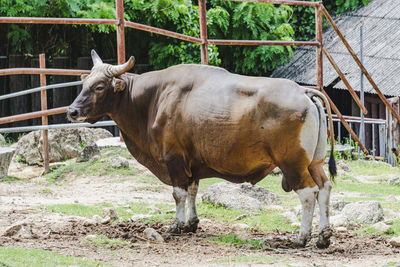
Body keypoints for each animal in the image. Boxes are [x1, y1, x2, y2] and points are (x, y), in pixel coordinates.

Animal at [67, 50, 336, 249]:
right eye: (84, 83)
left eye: (99, 86)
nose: (72, 111)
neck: (154, 98)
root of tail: (303, 91)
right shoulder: (191, 163)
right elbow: (193, 191)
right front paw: (191, 224)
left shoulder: (173, 158)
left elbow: (178, 194)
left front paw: (176, 225)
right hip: (314, 162)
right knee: (324, 188)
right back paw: (323, 236)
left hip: (292, 163)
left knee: (308, 193)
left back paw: (301, 238)